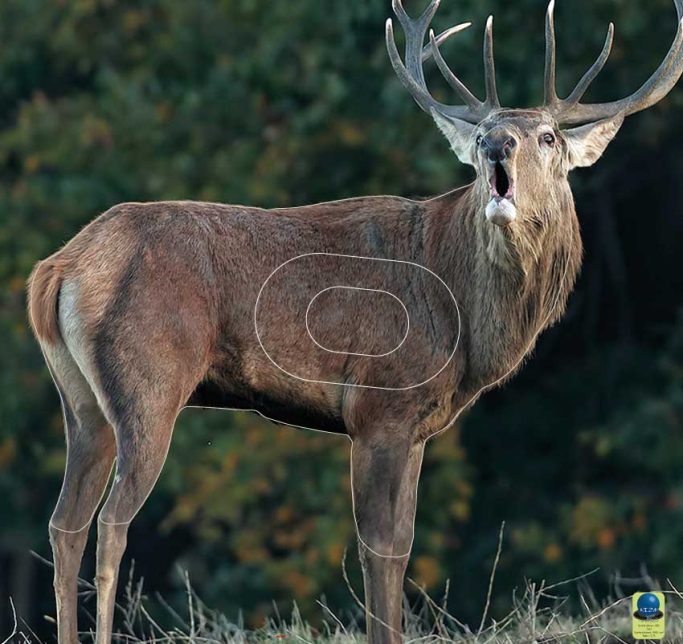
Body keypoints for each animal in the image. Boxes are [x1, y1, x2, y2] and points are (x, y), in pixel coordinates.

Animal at [26, 0, 683, 642]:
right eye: (482, 134)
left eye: (546, 135)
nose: (496, 146)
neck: (463, 317)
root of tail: (55, 268)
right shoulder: (379, 405)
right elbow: (381, 550)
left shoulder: (417, 426)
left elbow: (402, 544)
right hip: (148, 382)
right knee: (111, 521)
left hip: (81, 402)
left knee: (64, 522)